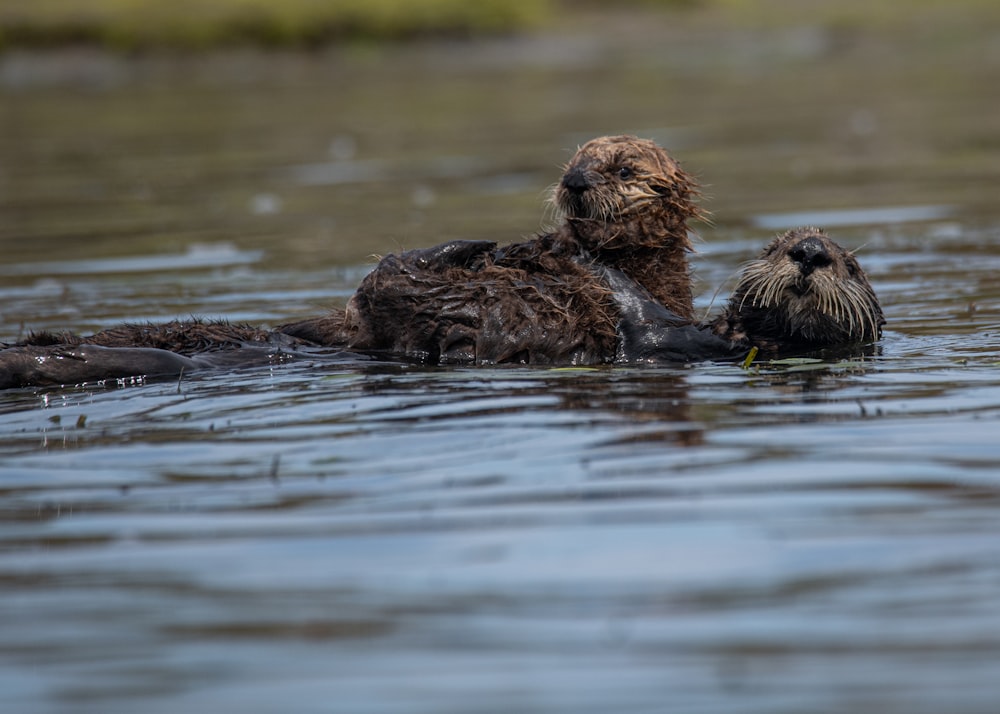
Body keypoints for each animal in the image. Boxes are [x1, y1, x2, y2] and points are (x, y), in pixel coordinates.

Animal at [0, 136, 884, 386]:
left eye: (850, 265)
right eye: (774, 248)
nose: (809, 249)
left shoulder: (680, 334)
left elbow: (627, 310)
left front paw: (576, 265)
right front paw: (554, 249)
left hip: (395, 296)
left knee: (395, 270)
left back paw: (473, 246)